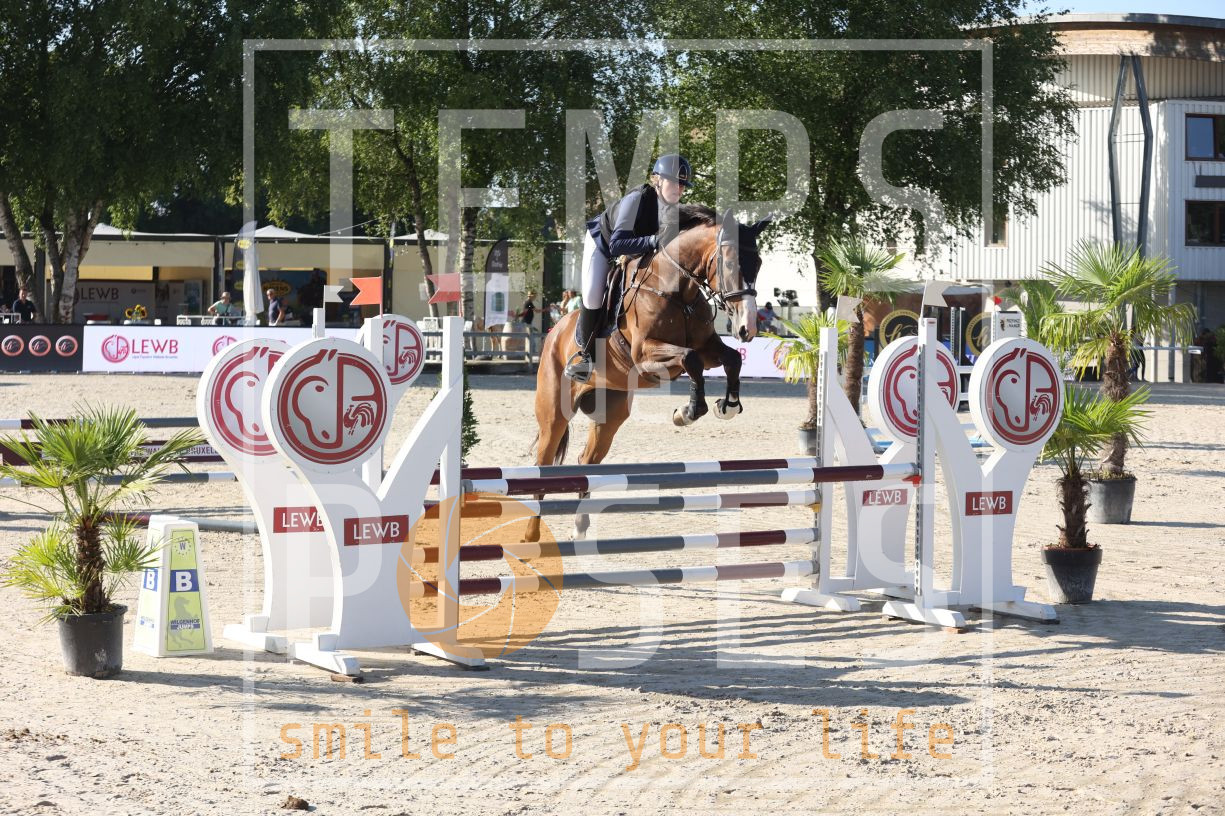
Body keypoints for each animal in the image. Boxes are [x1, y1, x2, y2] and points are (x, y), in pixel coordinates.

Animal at [525, 206, 771, 542]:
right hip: (554, 413)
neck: (678, 291)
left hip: (610, 414)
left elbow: (731, 359)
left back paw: (580, 528)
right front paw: (688, 412)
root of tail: (554, 331)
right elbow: (691, 359)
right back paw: (531, 536)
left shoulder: (708, 347)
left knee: (586, 460)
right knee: (544, 463)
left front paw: (728, 406)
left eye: (758, 263)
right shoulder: (645, 356)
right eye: (731, 262)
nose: (748, 328)